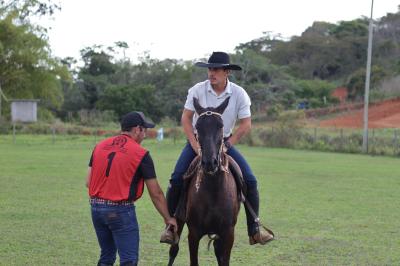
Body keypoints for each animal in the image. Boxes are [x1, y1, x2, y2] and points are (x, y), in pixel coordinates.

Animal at [167, 97, 239, 266]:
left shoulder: (228, 234)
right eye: (198, 127)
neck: (213, 189)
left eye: (220, 126)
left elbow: (224, 260)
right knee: (173, 249)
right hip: (178, 222)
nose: (209, 163)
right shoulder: (193, 234)